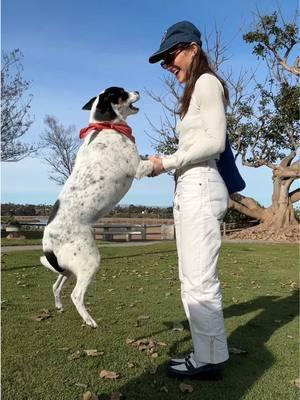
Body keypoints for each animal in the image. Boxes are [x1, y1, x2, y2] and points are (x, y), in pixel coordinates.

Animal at [40, 86, 152, 326]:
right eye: (122, 92)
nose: (137, 90)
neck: (107, 126)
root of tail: (47, 245)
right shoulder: (139, 167)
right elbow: (163, 157)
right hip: (89, 261)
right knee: (76, 295)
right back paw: (89, 320)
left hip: (69, 269)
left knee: (56, 285)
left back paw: (59, 305)